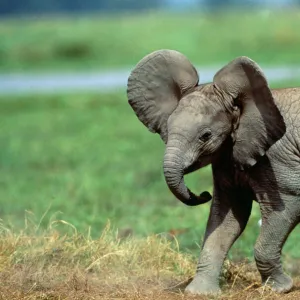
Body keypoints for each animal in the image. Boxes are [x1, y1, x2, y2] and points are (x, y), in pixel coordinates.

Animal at [126, 49, 300, 296]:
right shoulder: (226, 159)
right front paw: (200, 293)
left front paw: (280, 288)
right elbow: (227, 217)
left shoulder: (279, 159)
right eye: (167, 128)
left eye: (205, 136)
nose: (202, 194)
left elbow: (285, 208)